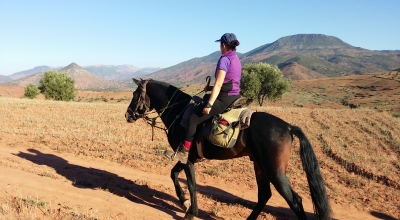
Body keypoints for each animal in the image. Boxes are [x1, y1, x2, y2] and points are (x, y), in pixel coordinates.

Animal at [125, 78, 332, 219]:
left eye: (135, 95)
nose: (127, 115)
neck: (179, 111)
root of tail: (288, 127)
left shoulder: (187, 158)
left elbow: (191, 184)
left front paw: (190, 212)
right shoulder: (187, 158)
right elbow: (174, 174)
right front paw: (184, 202)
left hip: (274, 171)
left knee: (295, 201)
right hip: (260, 166)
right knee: (264, 195)